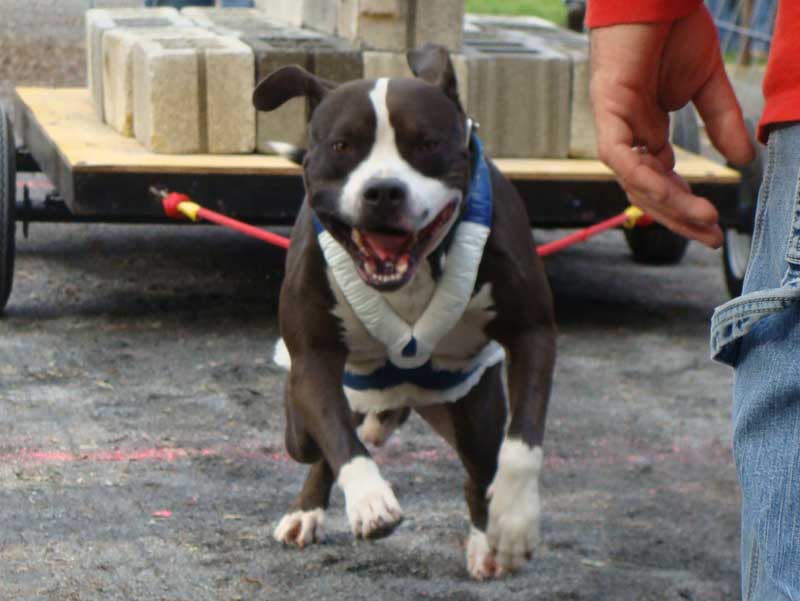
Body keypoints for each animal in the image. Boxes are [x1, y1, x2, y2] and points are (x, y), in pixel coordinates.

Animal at [256, 44, 556, 580]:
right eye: (342, 146)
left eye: (428, 143)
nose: (383, 191)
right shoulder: (313, 357)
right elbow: (332, 436)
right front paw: (370, 499)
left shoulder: (533, 332)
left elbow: (522, 443)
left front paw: (515, 521)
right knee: (315, 441)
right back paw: (306, 510)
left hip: (473, 409)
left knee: (479, 469)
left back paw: (484, 542)